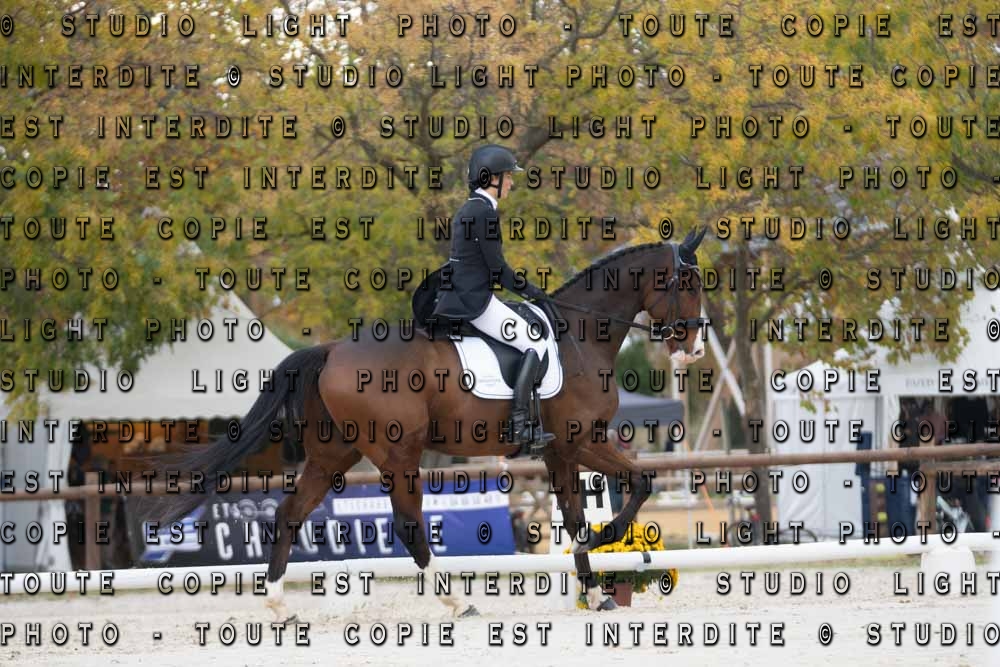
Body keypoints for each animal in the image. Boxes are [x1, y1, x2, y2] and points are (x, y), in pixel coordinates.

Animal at [135, 227, 708, 620]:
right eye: (689, 282)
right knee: (409, 523)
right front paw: (611, 540)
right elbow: (635, 484)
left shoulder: (561, 450)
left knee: (290, 514)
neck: (581, 335)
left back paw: (280, 606)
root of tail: (331, 349)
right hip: (397, 453)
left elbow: (575, 515)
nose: (696, 347)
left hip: (334, 454)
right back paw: (456, 602)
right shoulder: (576, 442)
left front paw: (594, 588)